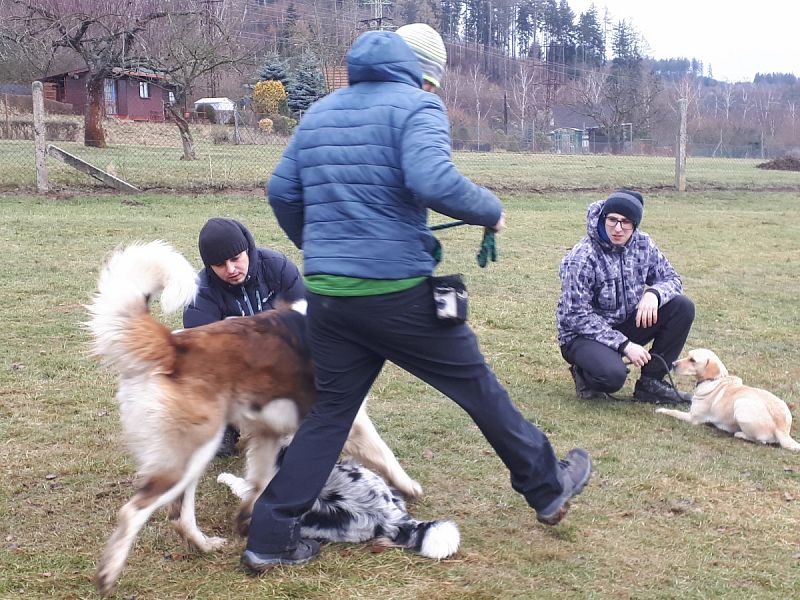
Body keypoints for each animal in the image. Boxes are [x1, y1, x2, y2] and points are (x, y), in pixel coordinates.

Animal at [86, 243, 424, 596]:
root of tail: (174, 346)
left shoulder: (268, 435)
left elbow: (262, 481)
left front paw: (248, 516)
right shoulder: (347, 418)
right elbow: (384, 452)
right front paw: (408, 486)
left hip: (195, 454)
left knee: (178, 515)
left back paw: (205, 545)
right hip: (191, 452)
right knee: (134, 511)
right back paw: (108, 574)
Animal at [656, 350, 800, 452]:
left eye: (693, 360)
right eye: (688, 355)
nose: (673, 364)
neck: (715, 380)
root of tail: (783, 430)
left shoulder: (693, 418)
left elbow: (673, 411)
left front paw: (661, 409)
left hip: (740, 405)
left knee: (760, 440)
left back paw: (739, 433)